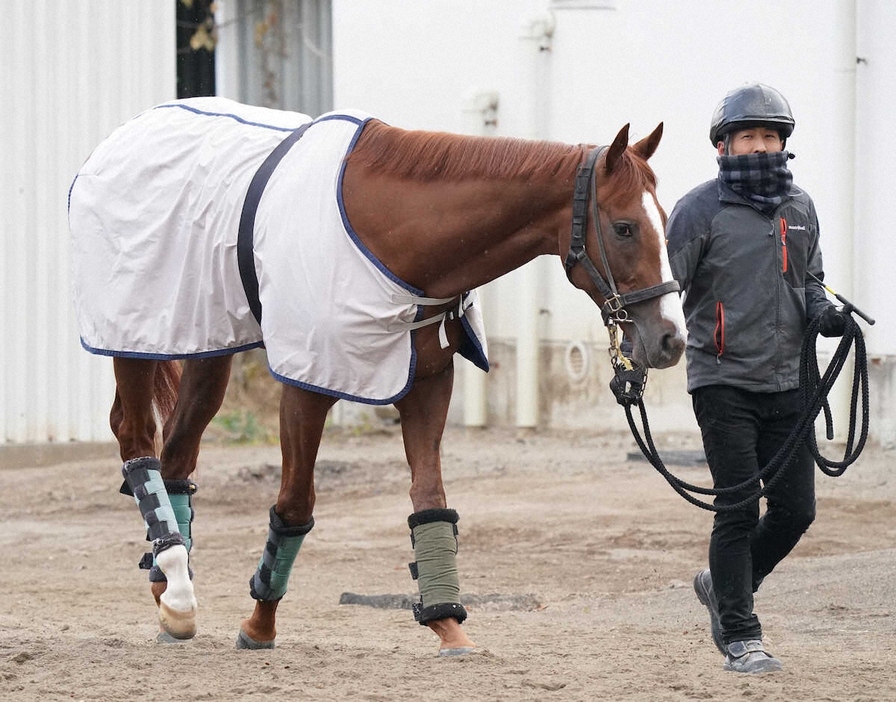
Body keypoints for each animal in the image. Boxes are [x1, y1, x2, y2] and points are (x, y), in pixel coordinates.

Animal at [70, 100, 688, 660]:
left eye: (665, 221)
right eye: (625, 227)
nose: (670, 339)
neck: (394, 231)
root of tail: (121, 138)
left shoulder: (429, 381)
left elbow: (430, 499)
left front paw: (448, 624)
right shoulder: (309, 383)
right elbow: (294, 505)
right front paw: (260, 622)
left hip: (204, 336)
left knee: (176, 454)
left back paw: (167, 587)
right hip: (136, 336)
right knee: (136, 439)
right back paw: (175, 585)